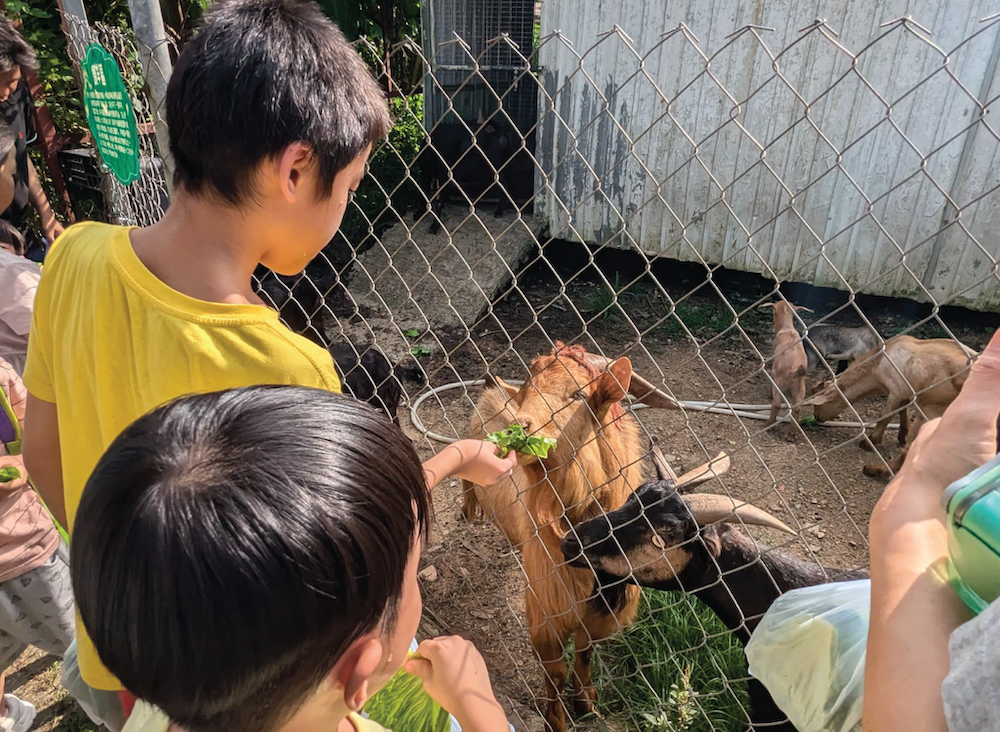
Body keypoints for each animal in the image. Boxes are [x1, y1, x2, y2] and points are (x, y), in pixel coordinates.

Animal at [460, 344, 648, 732]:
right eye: (528, 390)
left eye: (577, 395)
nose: (520, 427)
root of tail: (491, 388)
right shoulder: (546, 611)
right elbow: (555, 673)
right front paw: (556, 722)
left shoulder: (597, 612)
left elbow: (586, 653)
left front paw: (588, 702)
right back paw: (469, 510)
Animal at [760, 300, 808, 438]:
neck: (787, 328)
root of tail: (795, 370)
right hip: (800, 389)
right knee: (797, 408)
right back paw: (792, 433)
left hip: (779, 384)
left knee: (776, 404)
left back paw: (768, 424)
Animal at [804, 334, 976, 478]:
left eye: (819, 405)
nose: (817, 417)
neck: (879, 363)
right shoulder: (904, 393)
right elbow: (902, 412)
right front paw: (902, 434)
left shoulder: (896, 391)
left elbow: (885, 415)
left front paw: (869, 442)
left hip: (931, 411)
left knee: (909, 451)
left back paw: (873, 469)